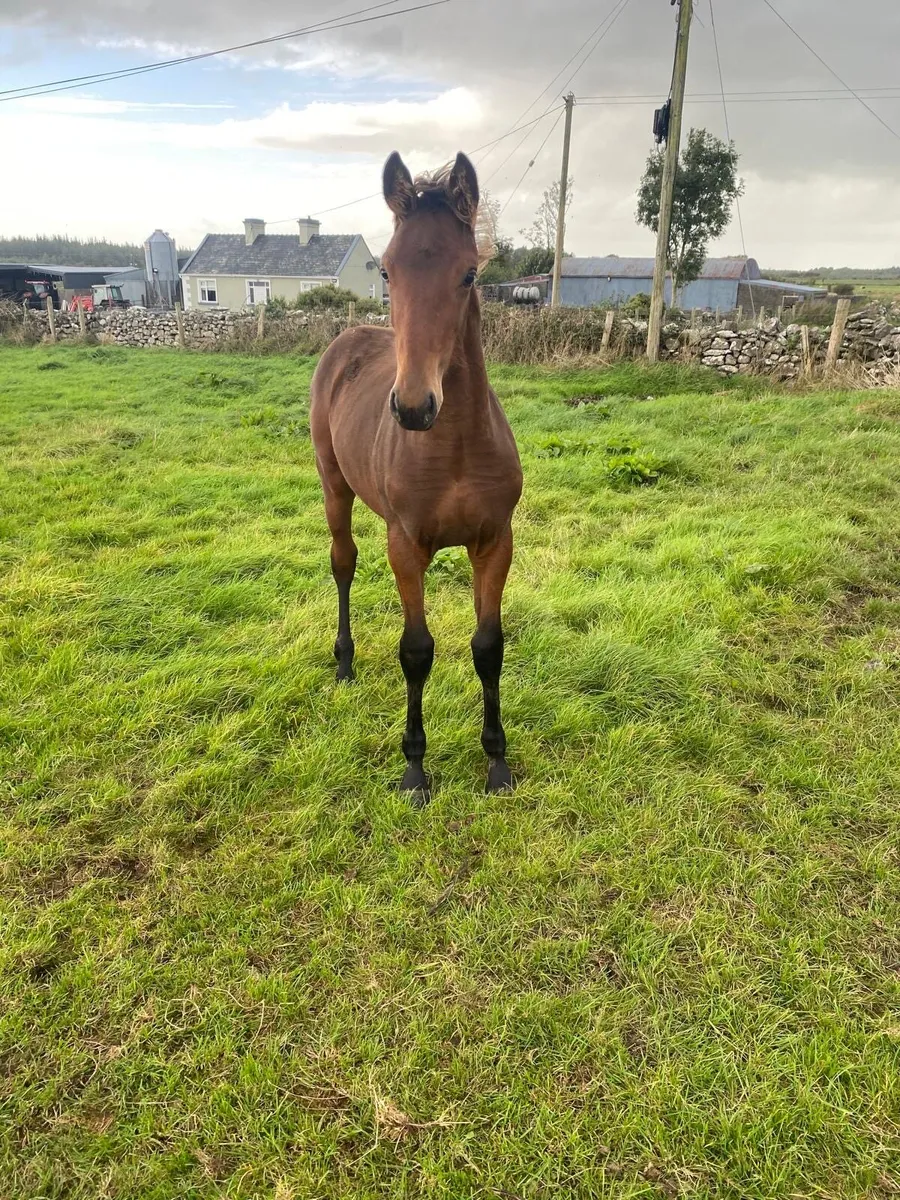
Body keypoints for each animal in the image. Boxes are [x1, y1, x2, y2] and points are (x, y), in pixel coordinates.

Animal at [309, 151, 523, 802]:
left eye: (470, 274)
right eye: (387, 269)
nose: (411, 407)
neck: (452, 448)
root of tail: (349, 338)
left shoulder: (495, 542)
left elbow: (488, 646)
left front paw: (496, 762)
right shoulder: (406, 542)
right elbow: (416, 650)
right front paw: (414, 768)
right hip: (334, 486)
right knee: (343, 563)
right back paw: (345, 663)